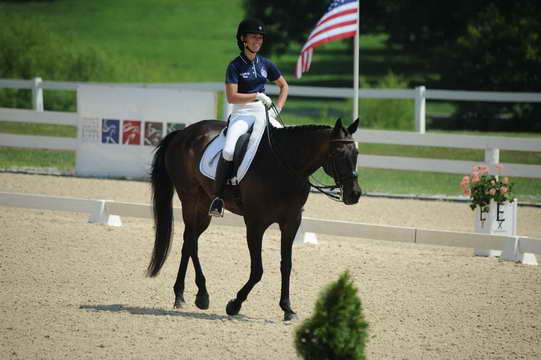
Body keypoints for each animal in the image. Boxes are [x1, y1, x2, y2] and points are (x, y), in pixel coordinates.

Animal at [146, 118, 360, 320]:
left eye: (357, 153)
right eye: (339, 153)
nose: (355, 194)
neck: (285, 166)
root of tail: (183, 132)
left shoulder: (291, 222)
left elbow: (286, 265)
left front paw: (287, 308)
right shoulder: (255, 223)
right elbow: (258, 270)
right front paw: (235, 304)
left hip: (205, 206)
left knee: (190, 242)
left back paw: (191, 295)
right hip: (190, 199)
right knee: (190, 242)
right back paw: (191, 296)